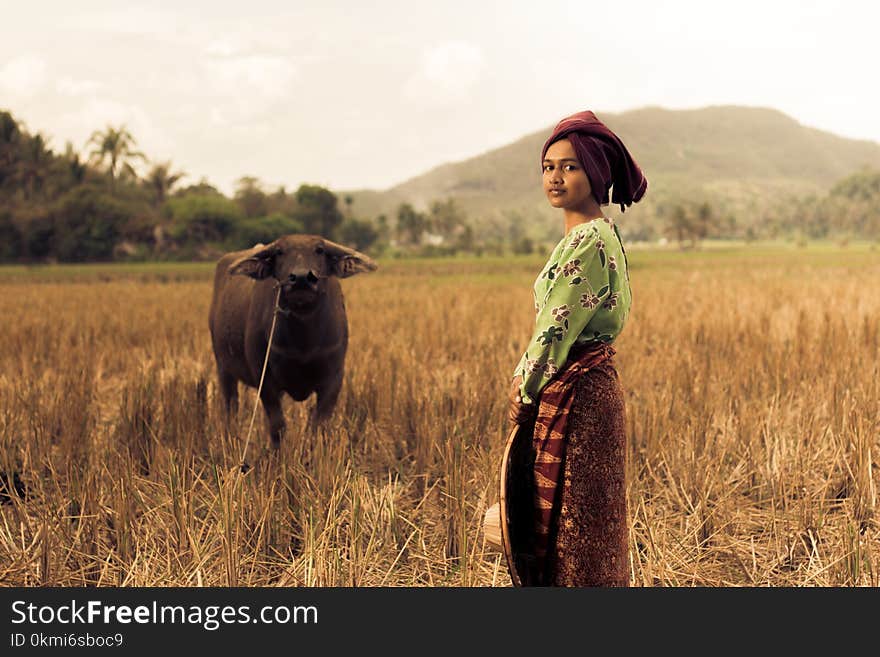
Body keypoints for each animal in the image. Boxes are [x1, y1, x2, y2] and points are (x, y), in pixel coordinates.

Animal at [208, 234, 376, 446]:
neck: (303, 344)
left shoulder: (334, 379)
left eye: (319, 250)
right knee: (231, 407)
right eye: (280, 252)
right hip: (223, 368)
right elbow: (277, 426)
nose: (302, 278)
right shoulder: (265, 380)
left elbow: (319, 427)